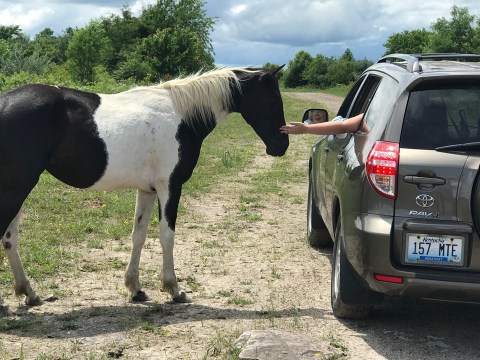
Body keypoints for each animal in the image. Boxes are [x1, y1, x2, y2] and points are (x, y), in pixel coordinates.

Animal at [0, 65, 288, 306]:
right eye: (273, 99)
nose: (281, 146)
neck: (182, 115)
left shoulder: (147, 190)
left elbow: (138, 236)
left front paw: (135, 288)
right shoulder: (170, 187)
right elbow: (167, 236)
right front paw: (174, 290)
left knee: (10, 240)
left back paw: (29, 293)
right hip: (17, 187)